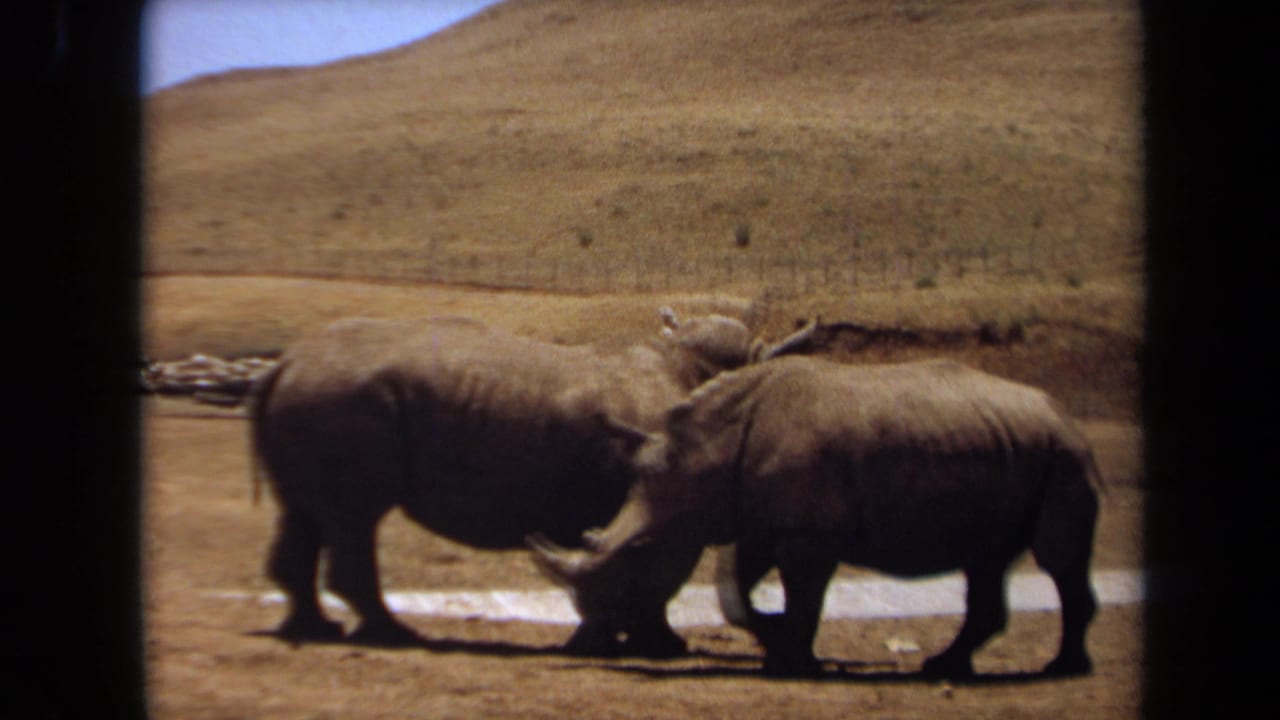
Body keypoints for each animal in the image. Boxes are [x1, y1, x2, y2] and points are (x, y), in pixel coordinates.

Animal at [250, 308, 818, 656]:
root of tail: (286, 362)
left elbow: (629, 566)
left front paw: (619, 640)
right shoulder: (669, 499)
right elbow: (659, 576)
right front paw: (658, 647)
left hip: (325, 396)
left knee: (309, 513)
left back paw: (316, 630)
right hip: (345, 399)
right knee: (354, 517)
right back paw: (393, 634)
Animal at [529, 355, 1104, 677]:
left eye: (636, 553)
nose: (595, 626)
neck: (700, 452)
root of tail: (1064, 414)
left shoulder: (807, 535)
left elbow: (803, 596)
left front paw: (794, 662)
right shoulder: (762, 520)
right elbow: (737, 593)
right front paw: (774, 643)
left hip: (1063, 456)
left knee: (1057, 559)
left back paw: (1062, 668)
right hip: (1014, 445)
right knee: (987, 559)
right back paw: (946, 667)